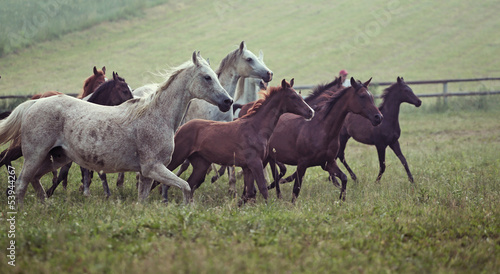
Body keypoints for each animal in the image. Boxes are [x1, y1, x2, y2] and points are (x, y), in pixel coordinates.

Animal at [0, 51, 232, 206]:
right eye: (207, 77)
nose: (228, 101)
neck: (157, 115)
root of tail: (33, 103)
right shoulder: (153, 168)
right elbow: (185, 186)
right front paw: (187, 208)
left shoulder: (147, 174)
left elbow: (143, 200)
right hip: (35, 155)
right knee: (21, 183)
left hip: (57, 158)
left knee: (35, 180)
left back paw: (46, 207)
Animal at [161, 79, 312, 203]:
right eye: (293, 97)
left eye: (300, 96)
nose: (311, 112)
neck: (255, 128)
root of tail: (180, 128)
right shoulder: (255, 163)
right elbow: (262, 189)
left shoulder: (247, 167)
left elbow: (250, 193)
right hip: (177, 157)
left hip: (201, 164)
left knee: (190, 184)